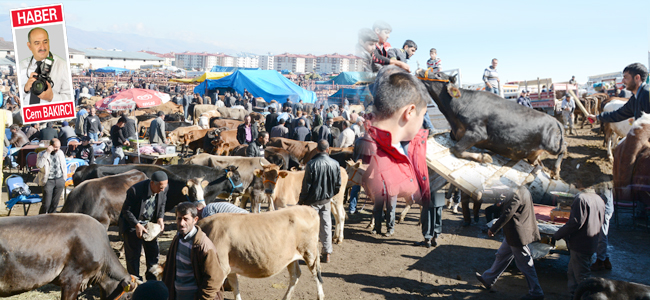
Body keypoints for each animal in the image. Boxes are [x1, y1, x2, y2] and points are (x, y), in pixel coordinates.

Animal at [412, 67, 564, 178]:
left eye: (438, 74)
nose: (419, 70)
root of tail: (556, 121)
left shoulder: (477, 133)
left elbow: (456, 149)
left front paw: (484, 157)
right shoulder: (456, 133)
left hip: (552, 145)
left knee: (563, 150)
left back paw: (556, 171)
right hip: (534, 154)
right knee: (538, 161)